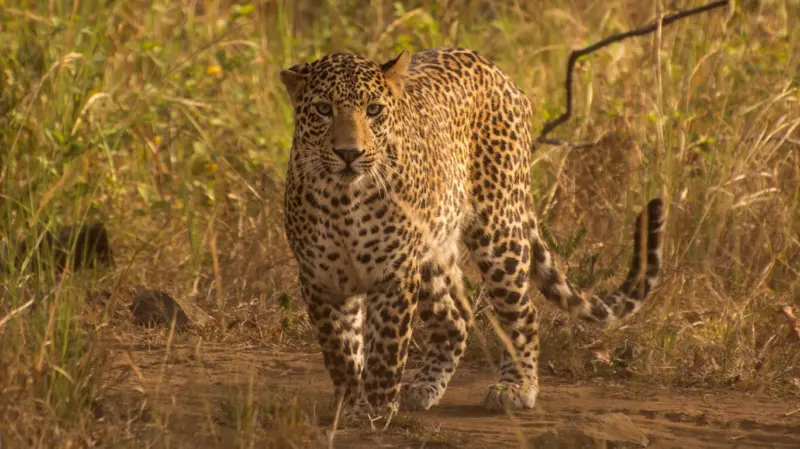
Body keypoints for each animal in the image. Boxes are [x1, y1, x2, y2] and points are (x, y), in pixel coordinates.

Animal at [279, 47, 665, 417]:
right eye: (323, 109)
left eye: (373, 110)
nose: (349, 153)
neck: (343, 199)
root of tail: (497, 71)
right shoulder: (320, 278)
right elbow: (340, 348)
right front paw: (349, 401)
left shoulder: (395, 275)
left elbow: (387, 349)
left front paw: (373, 410)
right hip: (434, 253)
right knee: (455, 319)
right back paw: (423, 388)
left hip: (499, 229)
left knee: (523, 311)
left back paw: (516, 387)